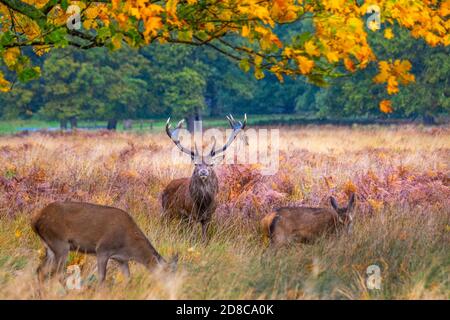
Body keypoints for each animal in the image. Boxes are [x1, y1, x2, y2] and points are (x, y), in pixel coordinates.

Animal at [31, 201, 178, 284]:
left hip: (50, 247)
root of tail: (36, 220)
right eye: (167, 276)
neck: (129, 247)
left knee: (40, 270)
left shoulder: (121, 259)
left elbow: (128, 279)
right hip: (60, 243)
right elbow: (102, 277)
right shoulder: (102, 249)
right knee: (57, 273)